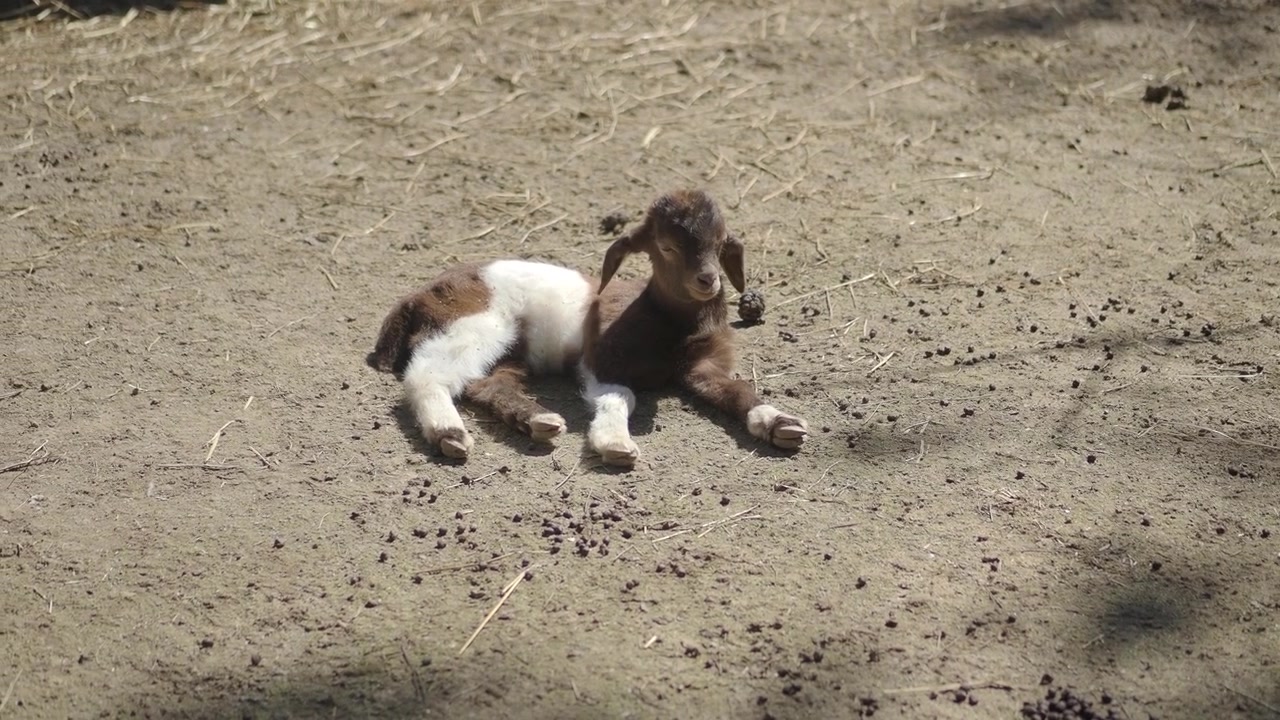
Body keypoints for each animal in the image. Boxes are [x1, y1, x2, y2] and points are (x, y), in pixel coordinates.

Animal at [367, 260, 593, 460]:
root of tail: (415, 296)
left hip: (506, 353)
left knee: (486, 385)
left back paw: (539, 421)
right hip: (472, 323)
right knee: (427, 372)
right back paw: (450, 433)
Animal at [580, 189, 809, 468]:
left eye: (720, 243)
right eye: (666, 247)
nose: (708, 279)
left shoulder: (701, 363)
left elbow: (736, 389)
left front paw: (777, 421)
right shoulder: (606, 358)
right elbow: (618, 395)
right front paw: (614, 441)